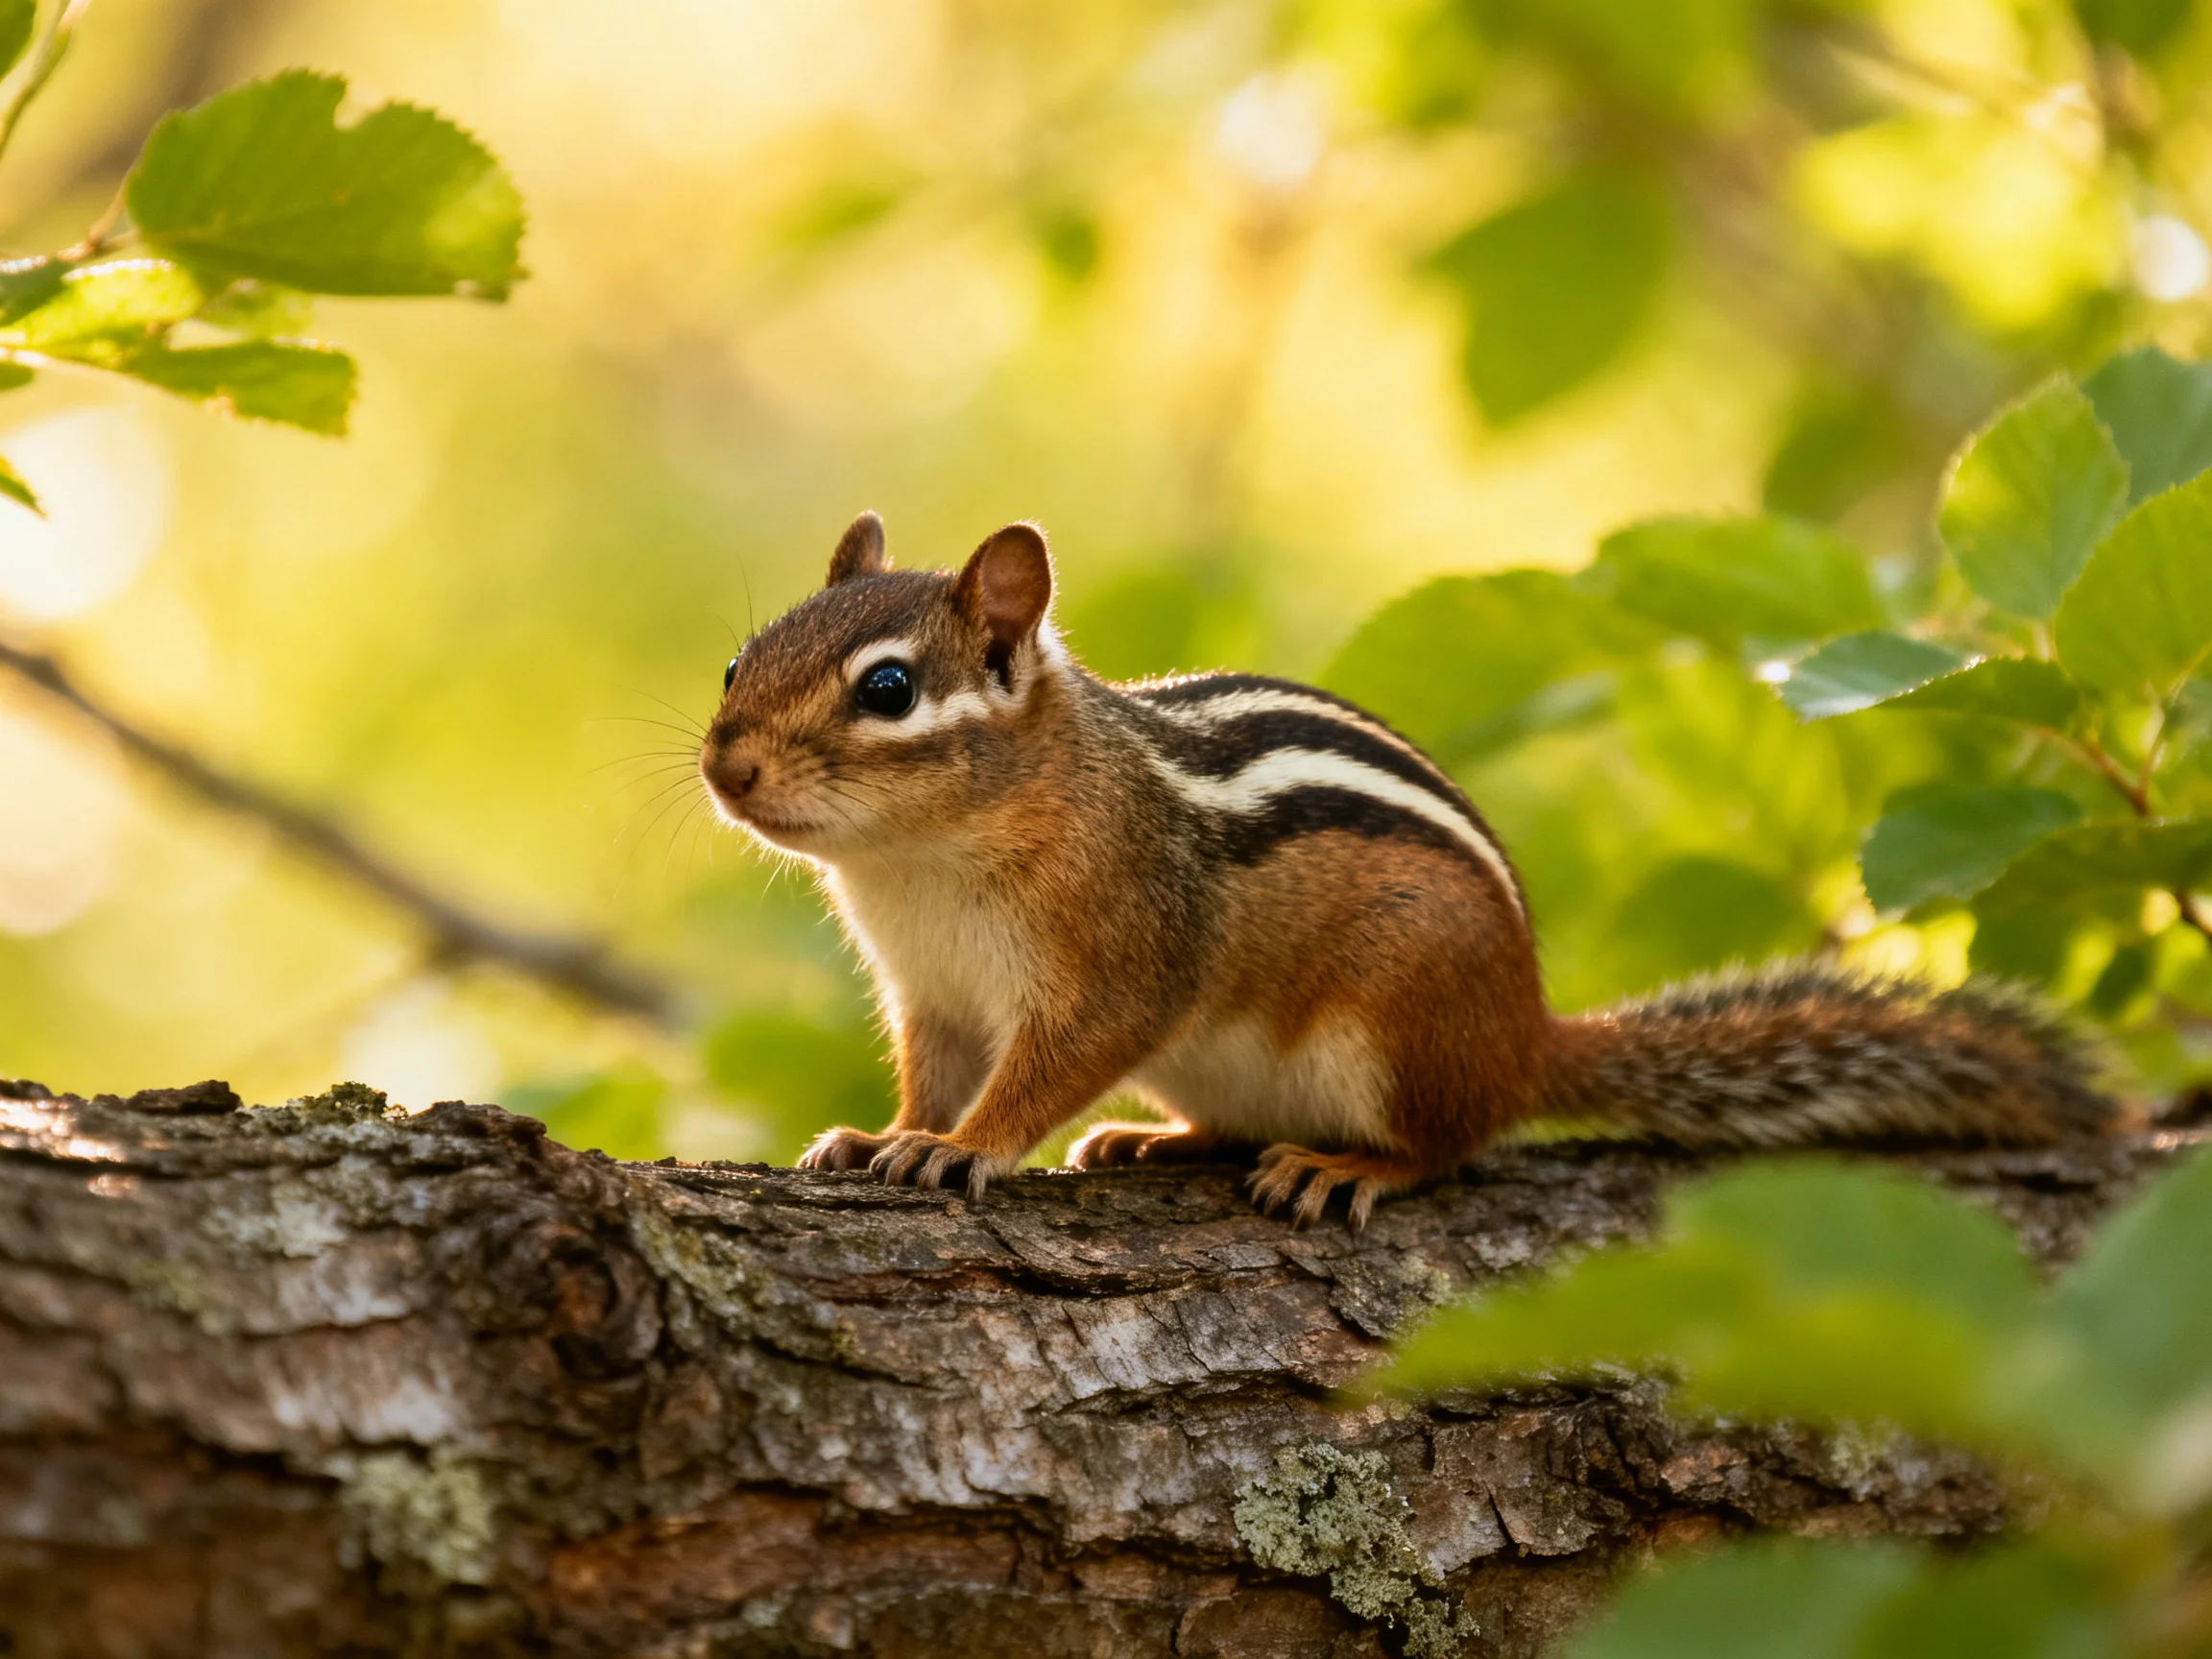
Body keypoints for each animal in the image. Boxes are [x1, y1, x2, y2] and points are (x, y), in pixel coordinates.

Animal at [698, 512, 2114, 1229]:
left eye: (888, 689)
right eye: (736, 661)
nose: (726, 766)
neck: (917, 866)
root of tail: (1529, 1031)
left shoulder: (1120, 954)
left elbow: (1041, 1068)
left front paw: (964, 1152)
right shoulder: (932, 993)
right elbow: (932, 1076)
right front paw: (882, 1135)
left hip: (1397, 1022)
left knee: (1450, 1144)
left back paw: (1348, 1170)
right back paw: (1159, 1142)